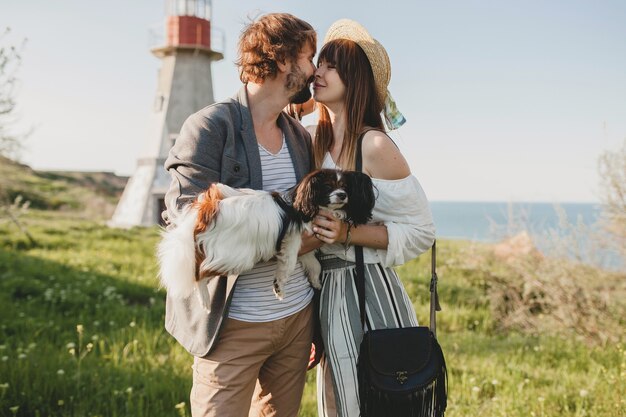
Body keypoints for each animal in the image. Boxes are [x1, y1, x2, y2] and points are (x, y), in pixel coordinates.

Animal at [156, 167, 372, 304]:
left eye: (345, 187)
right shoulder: (292, 243)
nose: (342, 195)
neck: (303, 205)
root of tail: (208, 208)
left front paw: (316, 281)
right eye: (327, 187)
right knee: (199, 272)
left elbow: (315, 265)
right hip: (234, 256)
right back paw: (204, 298)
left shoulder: (305, 250)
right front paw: (278, 287)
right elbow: (287, 267)